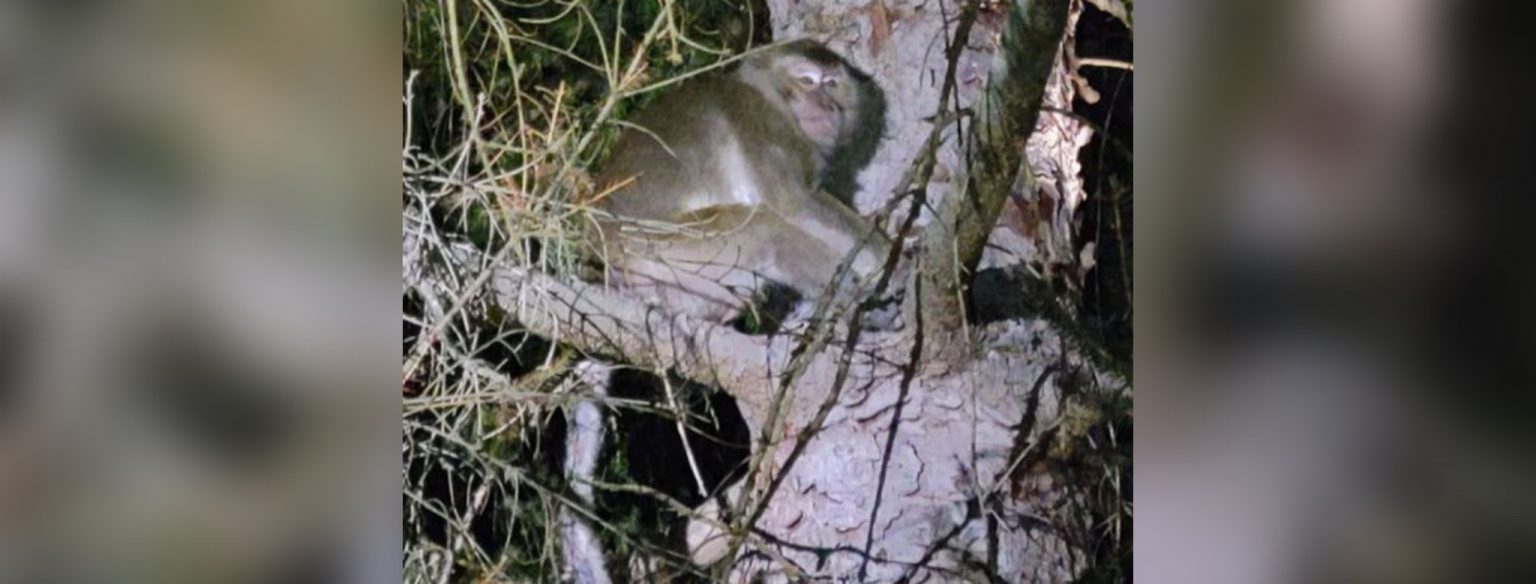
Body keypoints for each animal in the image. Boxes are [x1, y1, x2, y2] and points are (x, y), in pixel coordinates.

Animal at [589, 39, 897, 328]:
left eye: (832, 84)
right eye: (807, 80)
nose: (826, 105)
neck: (770, 97)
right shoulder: (761, 120)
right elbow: (794, 204)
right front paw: (891, 260)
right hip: (660, 240)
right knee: (770, 230)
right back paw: (854, 303)